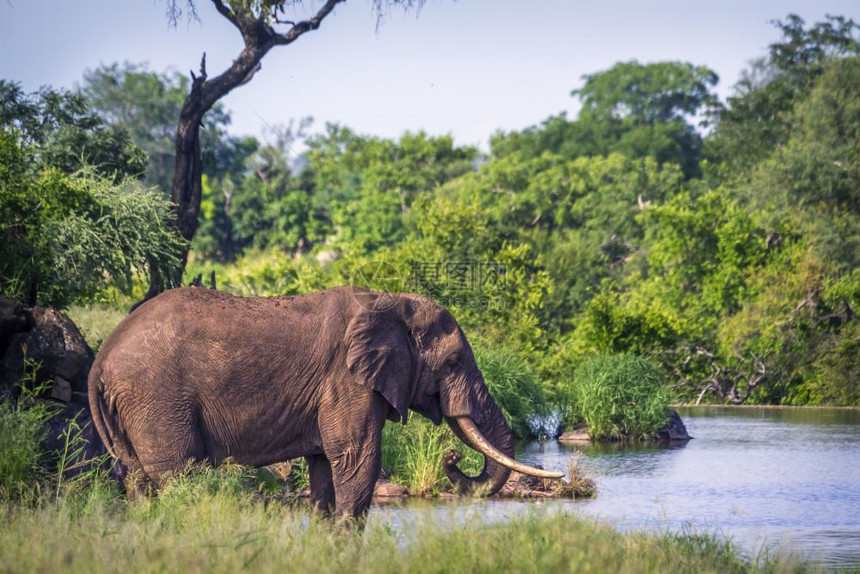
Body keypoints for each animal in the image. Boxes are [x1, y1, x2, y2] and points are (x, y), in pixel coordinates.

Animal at [85, 286, 556, 520]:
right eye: (454, 362)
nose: (451, 457)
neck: (391, 304)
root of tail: (100, 359)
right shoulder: (347, 380)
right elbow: (357, 458)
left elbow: (326, 468)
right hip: (156, 398)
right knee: (179, 476)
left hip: (134, 407)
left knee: (139, 482)